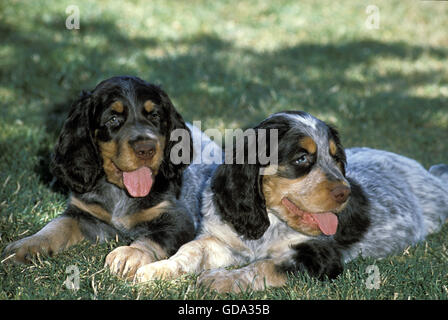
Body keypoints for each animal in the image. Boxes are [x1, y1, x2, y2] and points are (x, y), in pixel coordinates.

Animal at [133, 110, 448, 292]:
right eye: (301, 159)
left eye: (336, 158)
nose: (345, 192)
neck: (270, 220)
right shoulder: (220, 240)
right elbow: (190, 250)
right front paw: (155, 269)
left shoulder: (320, 255)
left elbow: (265, 266)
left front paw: (221, 279)